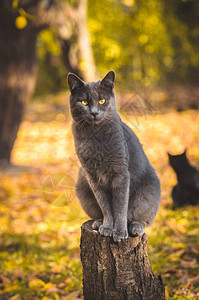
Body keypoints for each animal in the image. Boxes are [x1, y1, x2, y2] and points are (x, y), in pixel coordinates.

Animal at [67, 70, 161, 241]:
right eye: (84, 101)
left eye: (102, 100)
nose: (94, 112)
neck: (94, 137)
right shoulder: (93, 176)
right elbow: (105, 205)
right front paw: (107, 227)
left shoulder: (121, 173)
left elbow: (120, 206)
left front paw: (119, 232)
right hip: (82, 186)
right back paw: (98, 223)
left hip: (149, 193)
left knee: (140, 218)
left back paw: (135, 228)